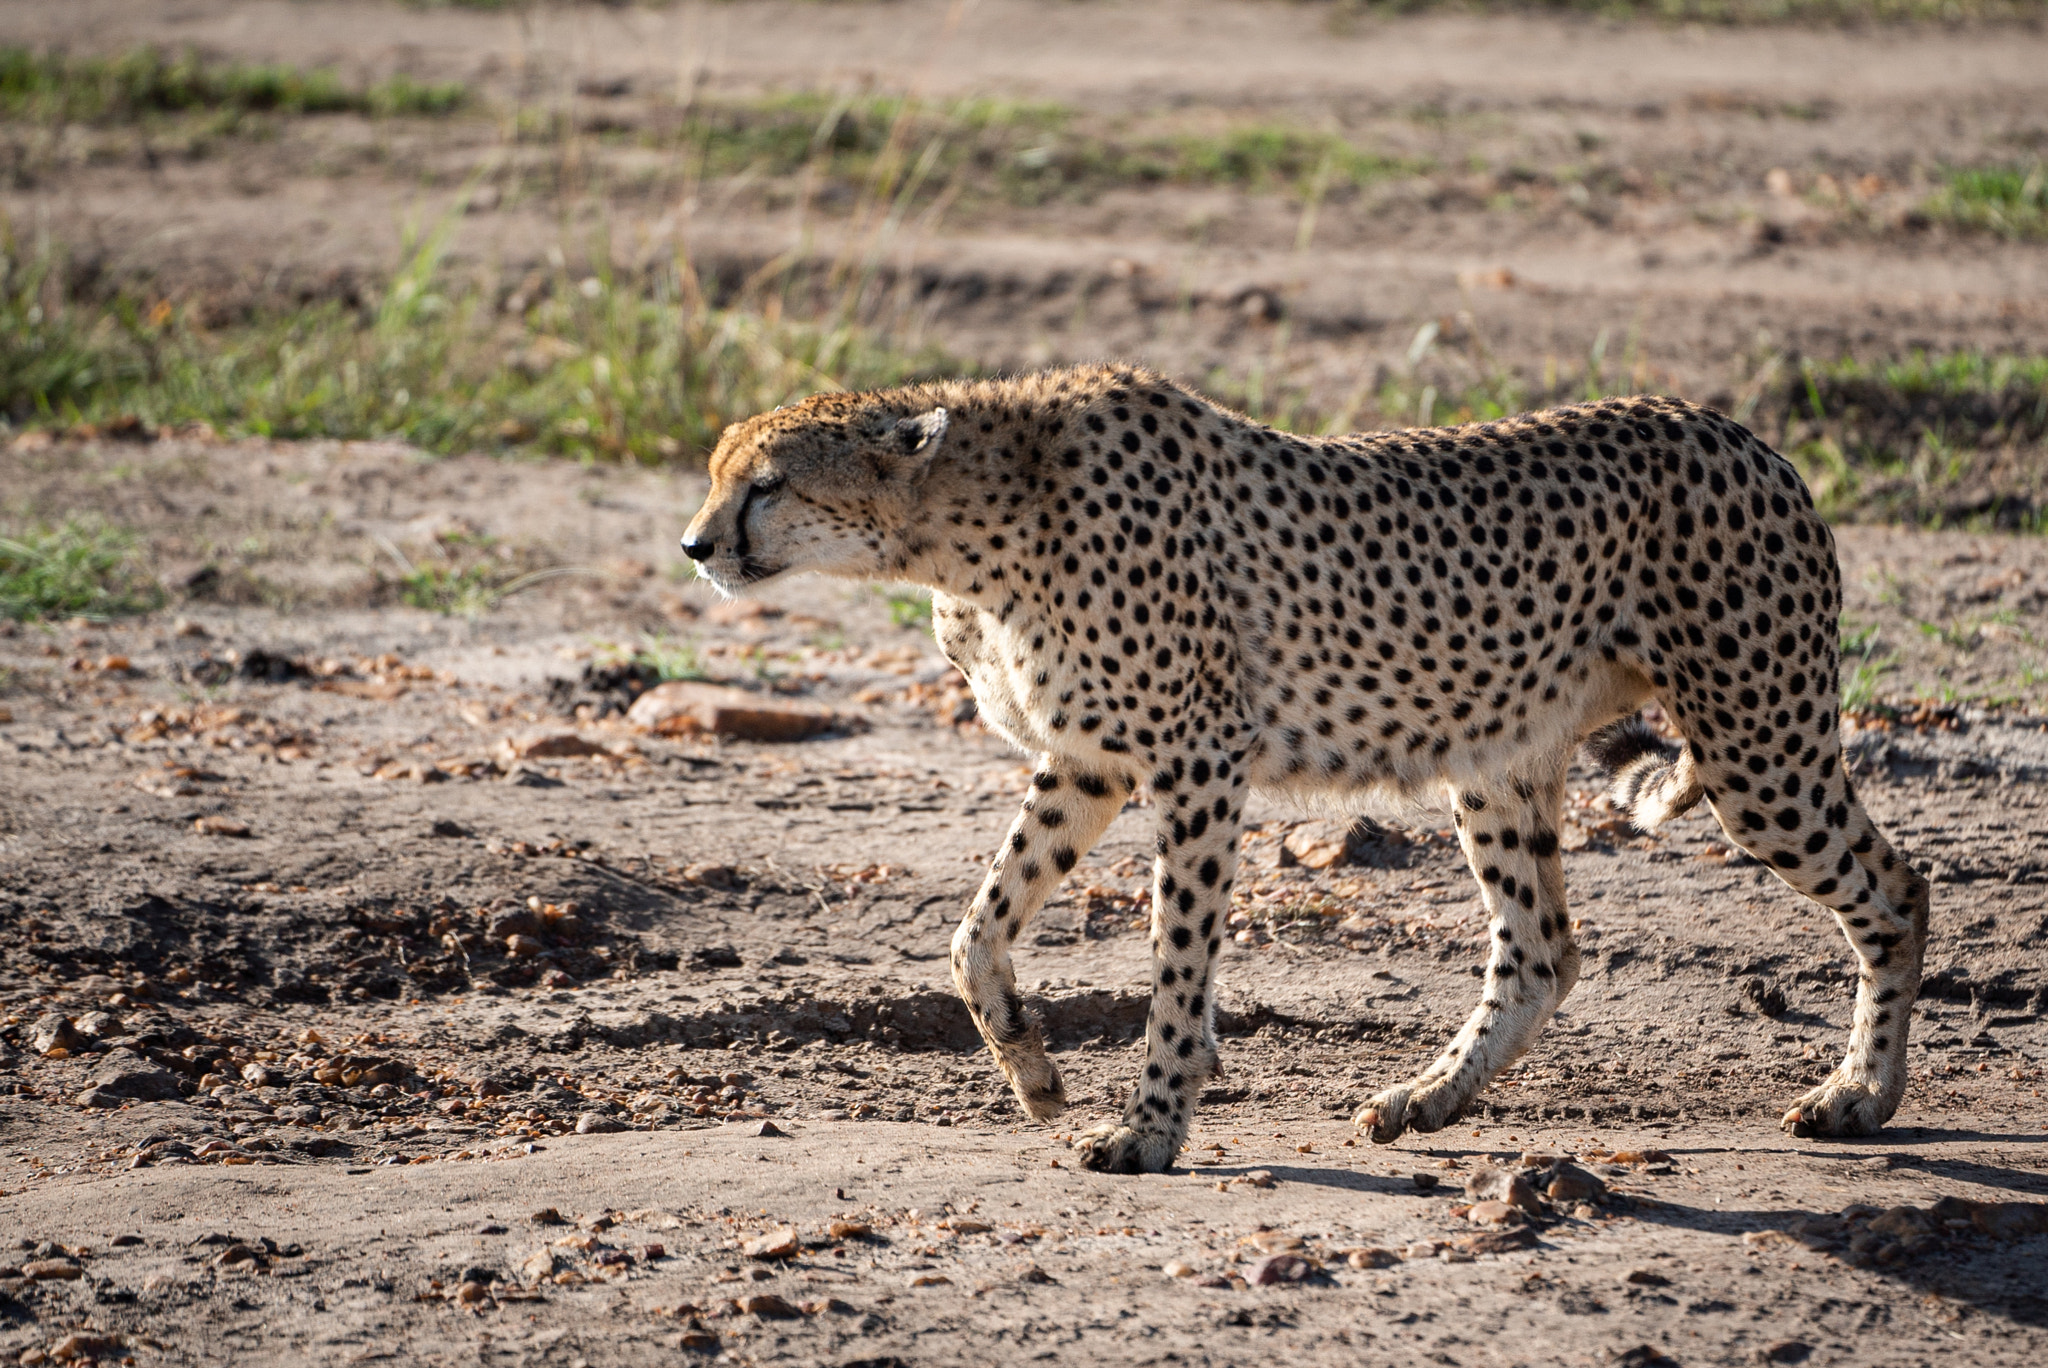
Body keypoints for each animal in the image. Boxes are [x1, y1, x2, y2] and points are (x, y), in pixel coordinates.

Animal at [679, 366, 1925, 1179]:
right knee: (1540, 948)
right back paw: (1427, 1098)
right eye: (715, 474)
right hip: (1498, 756)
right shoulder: (1083, 762)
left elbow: (1173, 961)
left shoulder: (1194, 760)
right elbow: (972, 932)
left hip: (1754, 744)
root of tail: (1745, 436)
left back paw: (1859, 1095)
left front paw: (1149, 1128)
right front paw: (1033, 1072)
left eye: (768, 484)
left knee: (1894, 885)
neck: (966, 527)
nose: (694, 546)